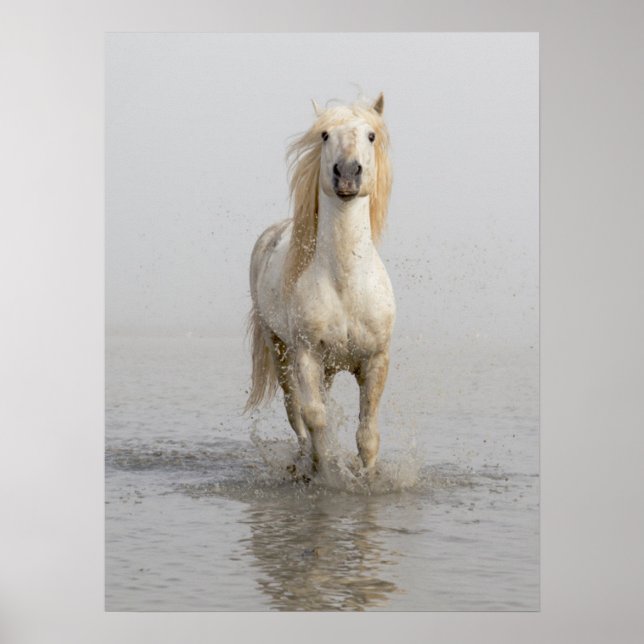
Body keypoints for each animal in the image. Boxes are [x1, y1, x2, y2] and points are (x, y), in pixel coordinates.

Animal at [245, 93, 395, 474]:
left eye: (371, 135)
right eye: (325, 135)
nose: (347, 173)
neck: (346, 283)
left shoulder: (375, 359)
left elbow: (368, 432)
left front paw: (367, 477)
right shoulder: (306, 356)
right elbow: (314, 417)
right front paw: (324, 470)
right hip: (279, 350)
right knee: (294, 411)